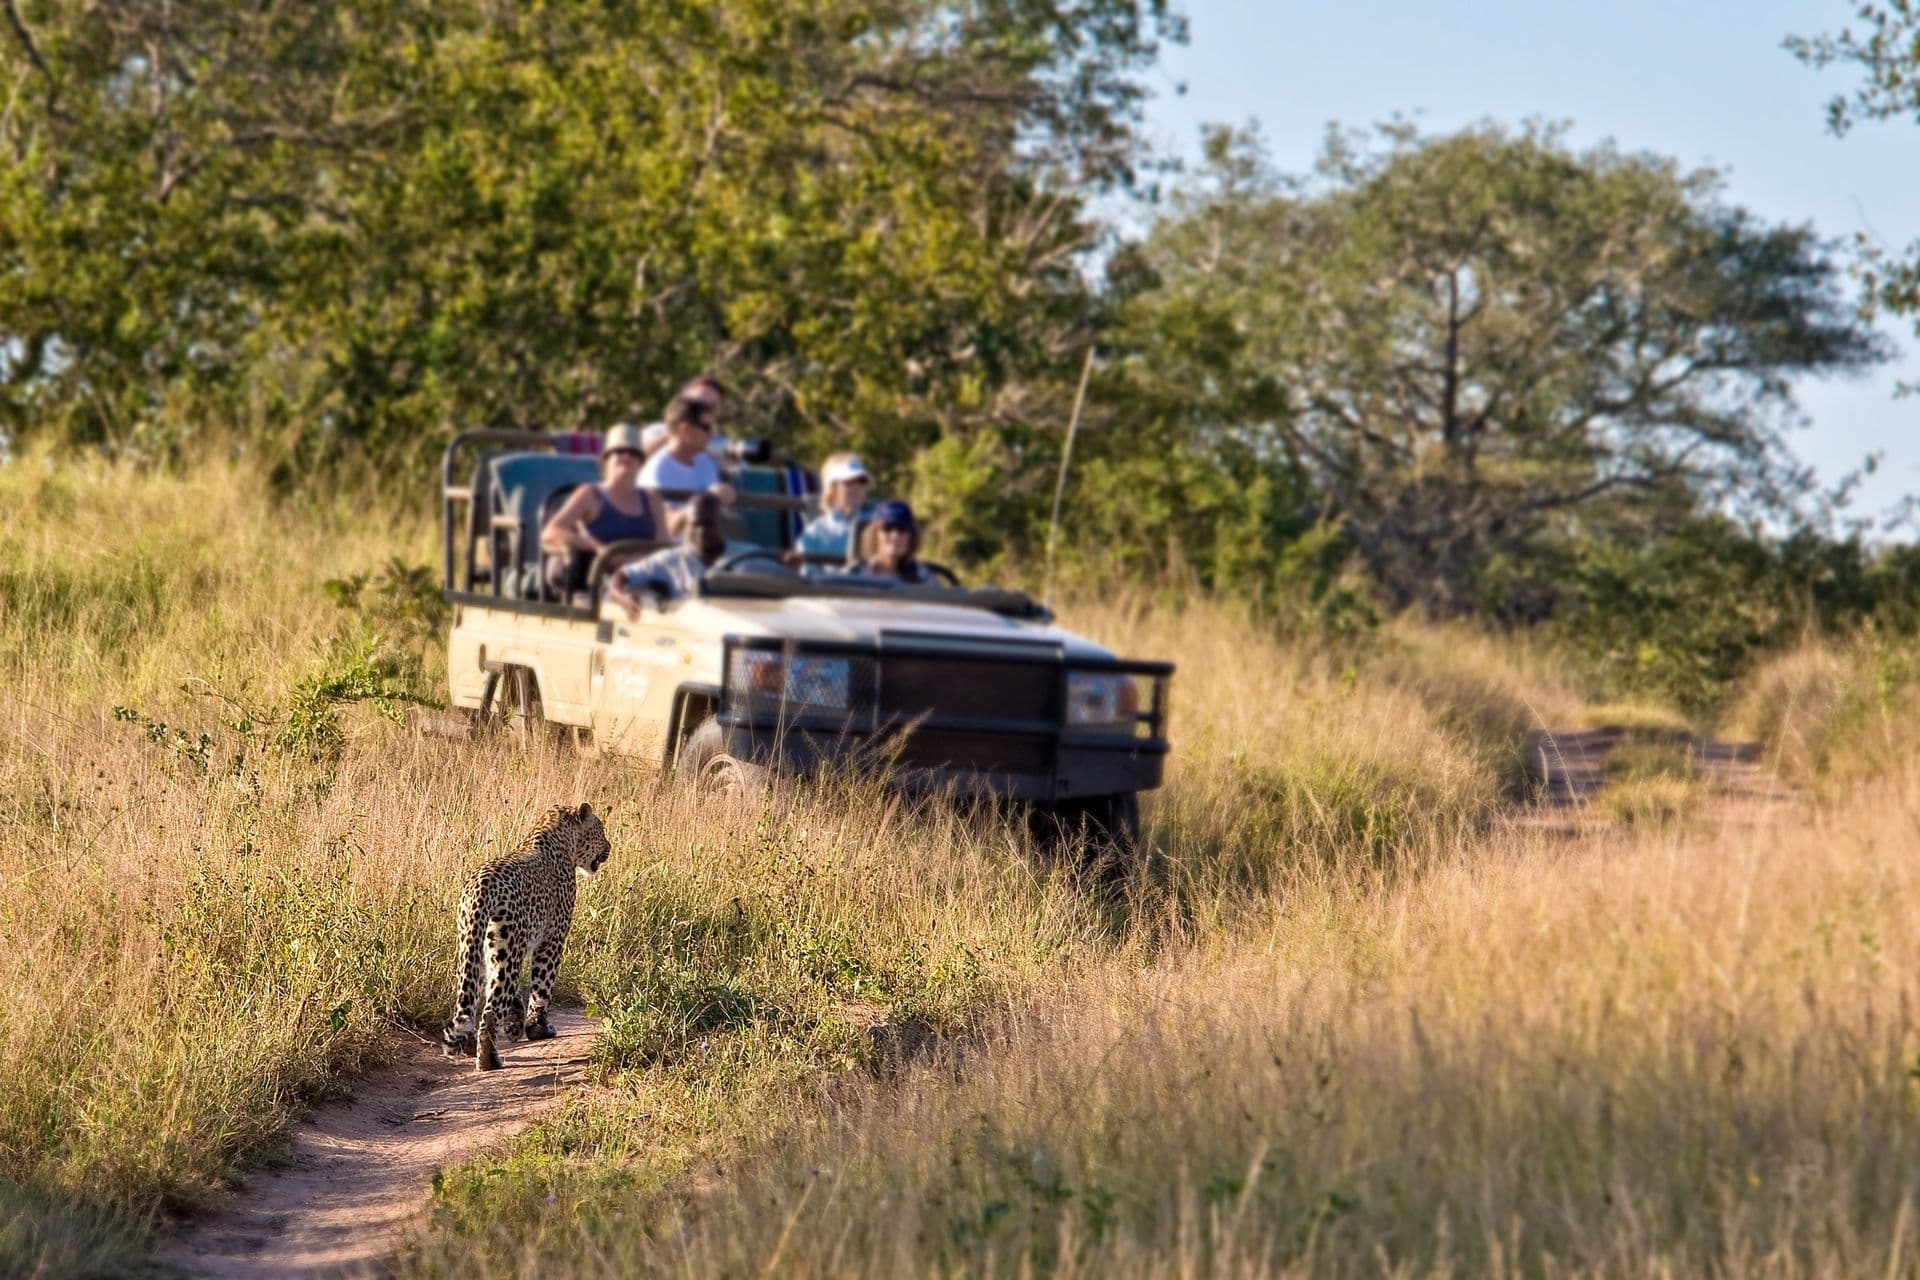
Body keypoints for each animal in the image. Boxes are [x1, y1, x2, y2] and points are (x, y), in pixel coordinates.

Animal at [441, 801, 612, 1071]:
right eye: (600, 830)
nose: (609, 847)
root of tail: (482, 887)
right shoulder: (552, 938)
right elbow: (542, 985)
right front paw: (538, 1028)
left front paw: (515, 1025)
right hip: (507, 950)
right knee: (490, 1010)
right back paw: (489, 1060)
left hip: (472, 948)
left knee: (471, 998)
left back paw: (470, 1044)